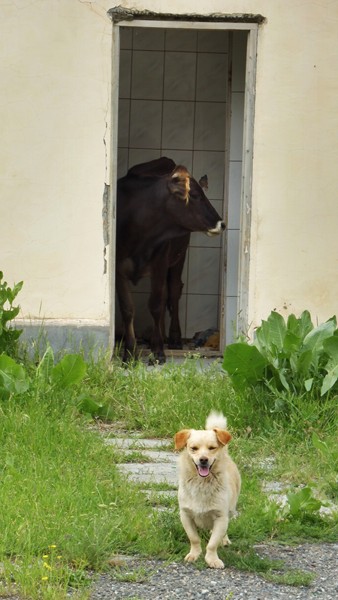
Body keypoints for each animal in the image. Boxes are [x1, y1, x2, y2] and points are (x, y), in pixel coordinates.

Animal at [115, 157, 224, 364]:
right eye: (195, 195)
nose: (221, 223)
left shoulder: (159, 263)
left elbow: (156, 305)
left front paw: (158, 351)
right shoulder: (118, 269)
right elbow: (127, 309)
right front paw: (130, 352)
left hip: (177, 259)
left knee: (173, 290)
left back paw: (173, 338)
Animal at [174, 410, 240, 568]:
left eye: (212, 448)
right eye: (193, 448)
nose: (203, 459)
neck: (202, 483)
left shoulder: (221, 517)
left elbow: (212, 544)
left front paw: (212, 560)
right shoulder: (185, 515)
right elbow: (194, 538)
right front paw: (194, 554)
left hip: (230, 510)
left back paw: (224, 540)